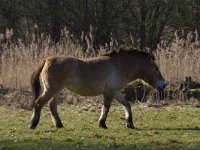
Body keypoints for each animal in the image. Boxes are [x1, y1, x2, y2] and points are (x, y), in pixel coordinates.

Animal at [25, 47, 166, 129]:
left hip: (55, 91)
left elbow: (127, 105)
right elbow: (106, 108)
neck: (119, 65)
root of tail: (47, 59)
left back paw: (59, 125)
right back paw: (33, 124)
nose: (163, 85)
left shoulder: (117, 92)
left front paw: (129, 123)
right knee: (39, 103)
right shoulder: (109, 93)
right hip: (51, 90)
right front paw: (102, 124)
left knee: (51, 106)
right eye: (155, 68)